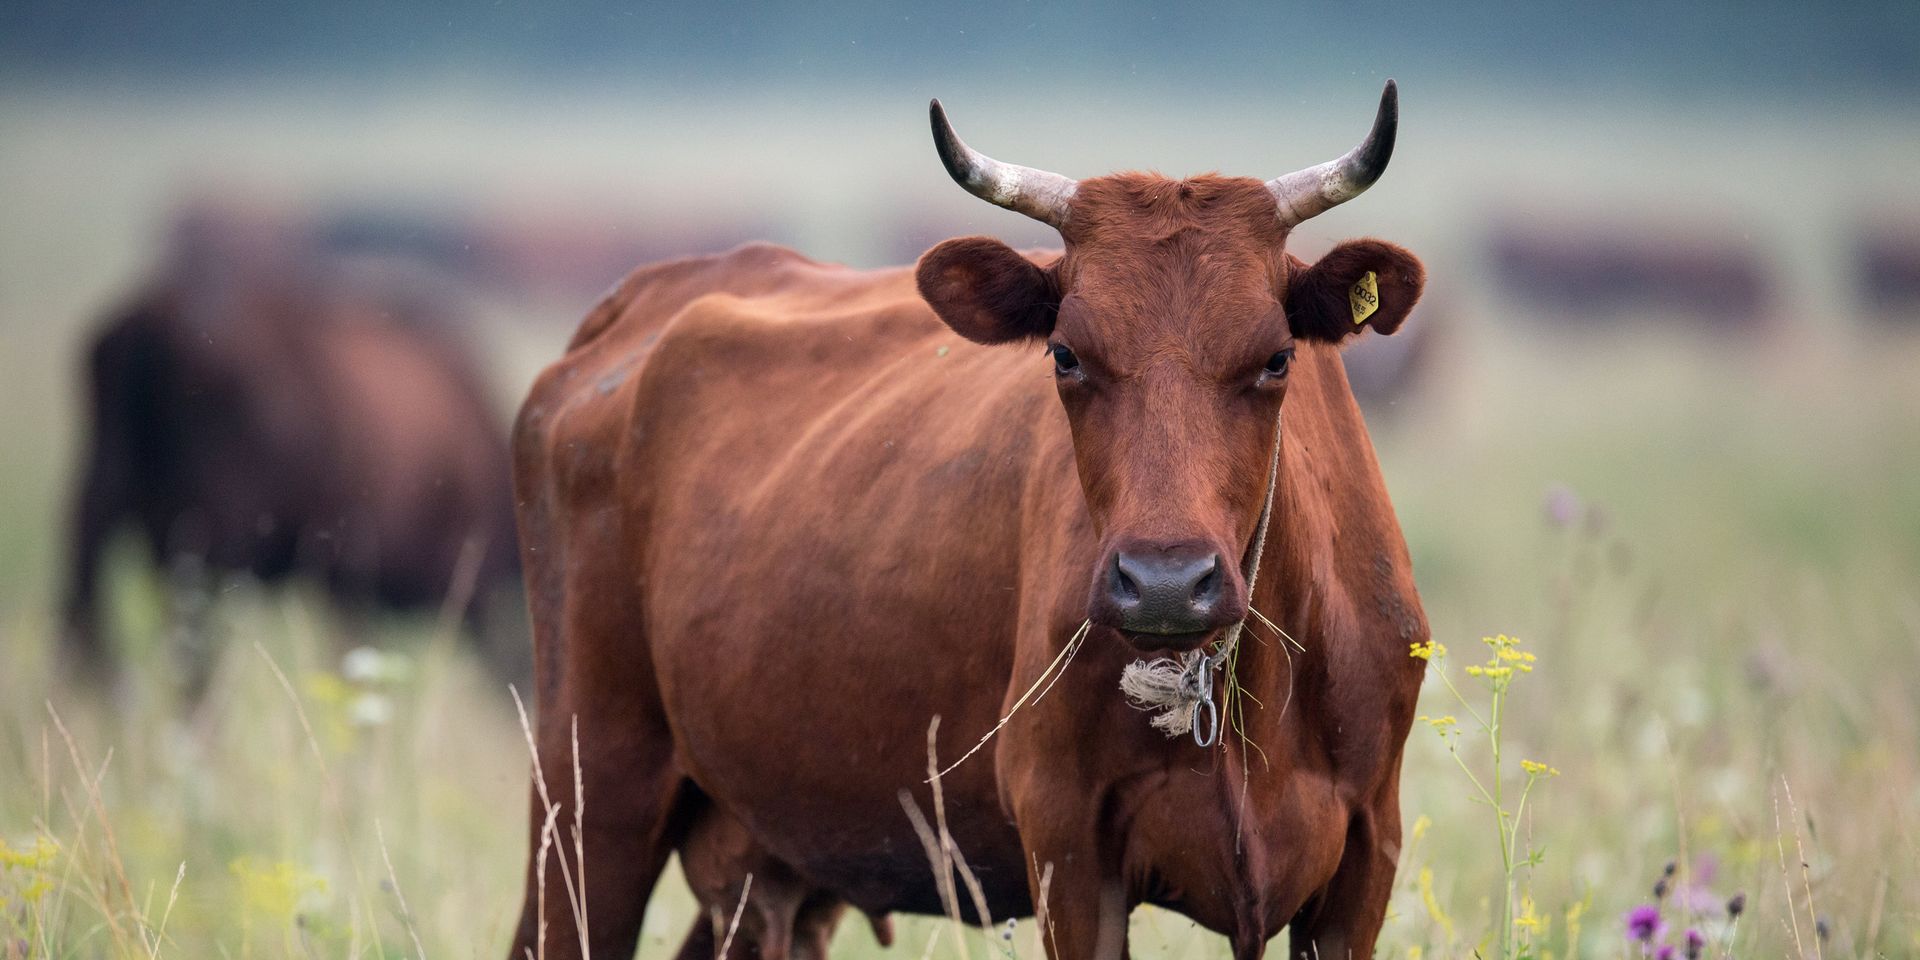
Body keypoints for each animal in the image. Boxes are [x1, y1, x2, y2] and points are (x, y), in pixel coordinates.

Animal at [508, 81, 1428, 960]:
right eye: (1065, 355)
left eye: (1276, 359)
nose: (1166, 583)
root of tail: (645, 298)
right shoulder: (1068, 846)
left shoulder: (1367, 852)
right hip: (591, 789)